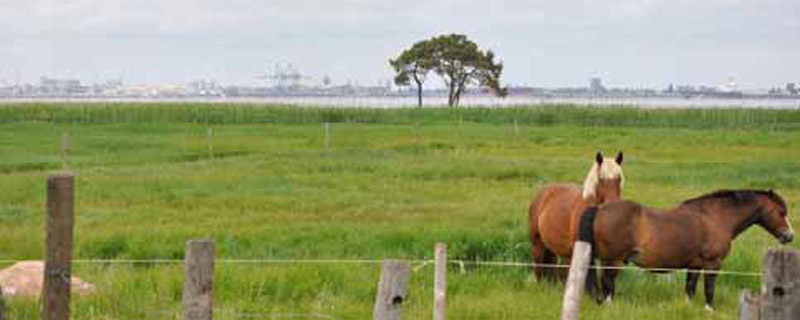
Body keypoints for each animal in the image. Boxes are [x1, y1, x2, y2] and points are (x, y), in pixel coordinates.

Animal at [532, 151, 624, 282]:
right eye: (600, 179)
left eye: (619, 178)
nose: (612, 204)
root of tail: (544, 191)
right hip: (537, 243)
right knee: (539, 266)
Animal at [580, 190, 792, 310]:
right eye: (781, 212)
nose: (790, 236)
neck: (715, 217)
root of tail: (600, 209)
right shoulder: (713, 264)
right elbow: (709, 289)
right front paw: (709, 311)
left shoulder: (695, 266)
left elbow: (690, 289)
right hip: (613, 262)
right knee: (607, 285)